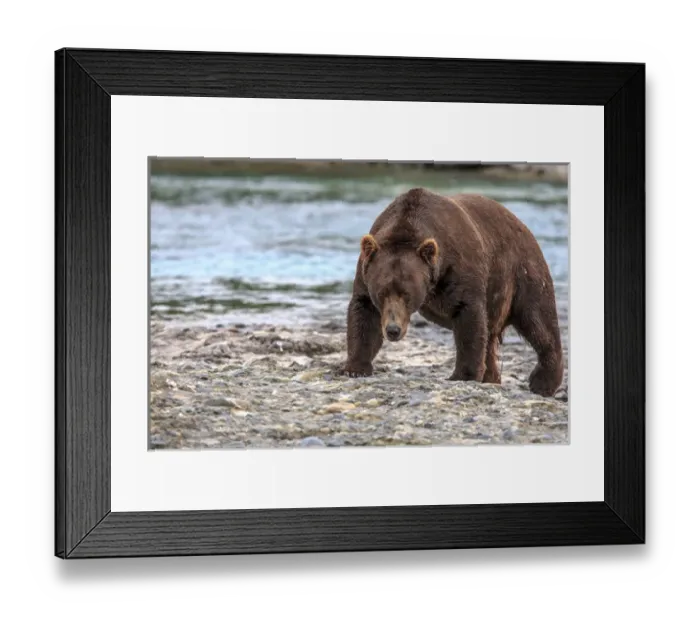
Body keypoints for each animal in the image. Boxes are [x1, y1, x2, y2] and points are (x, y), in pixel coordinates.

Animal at [341, 187, 564, 397]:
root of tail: (522, 225)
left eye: (407, 294)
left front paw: (463, 375)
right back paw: (492, 377)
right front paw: (355, 367)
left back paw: (543, 382)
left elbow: (469, 320)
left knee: (537, 320)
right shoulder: (367, 270)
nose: (393, 330)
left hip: (521, 272)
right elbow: (364, 315)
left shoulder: (459, 269)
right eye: (382, 292)